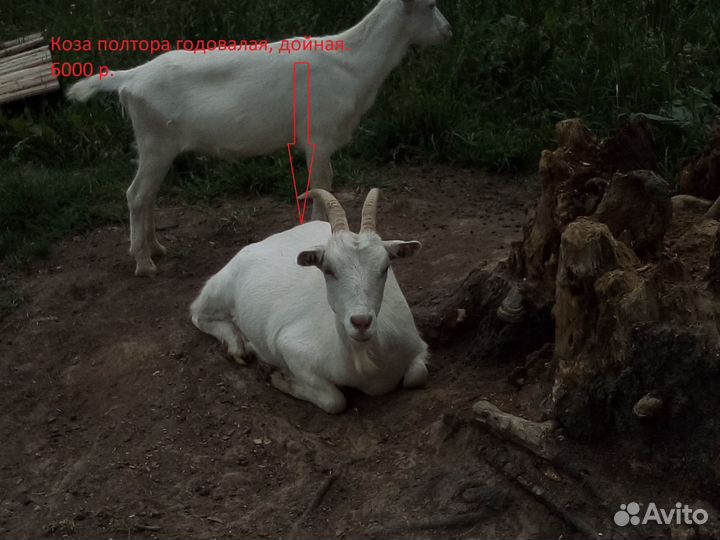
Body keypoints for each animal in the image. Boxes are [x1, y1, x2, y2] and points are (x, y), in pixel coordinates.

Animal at [66, 0, 452, 277]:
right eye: (431, 4)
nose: (449, 31)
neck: (352, 64)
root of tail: (130, 78)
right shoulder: (318, 135)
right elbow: (322, 183)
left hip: (156, 147)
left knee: (147, 195)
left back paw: (156, 248)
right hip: (156, 141)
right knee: (136, 195)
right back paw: (144, 263)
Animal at [190, 188, 429, 413]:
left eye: (385, 267)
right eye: (328, 269)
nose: (361, 322)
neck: (363, 363)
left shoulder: (417, 345)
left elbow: (418, 375)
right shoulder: (291, 348)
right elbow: (334, 400)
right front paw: (277, 376)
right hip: (220, 287)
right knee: (197, 314)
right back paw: (237, 345)